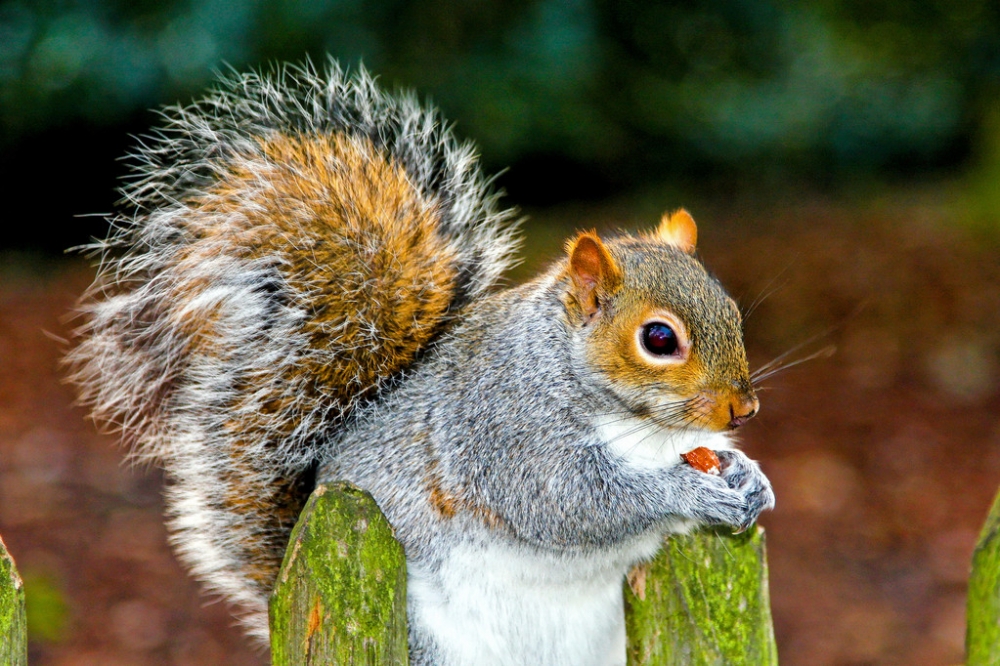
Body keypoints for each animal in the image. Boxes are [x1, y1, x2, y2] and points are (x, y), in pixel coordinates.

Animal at [68, 61, 772, 664]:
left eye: (731, 309)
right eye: (658, 339)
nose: (743, 408)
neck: (641, 426)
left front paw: (750, 477)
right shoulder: (506, 431)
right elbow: (571, 502)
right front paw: (684, 493)